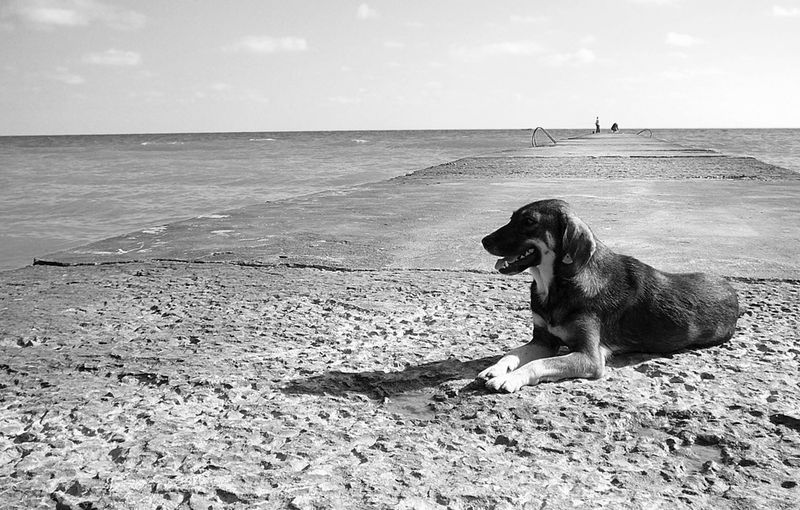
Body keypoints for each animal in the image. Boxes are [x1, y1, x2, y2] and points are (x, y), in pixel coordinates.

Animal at [478, 199, 739, 393]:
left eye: (530, 221)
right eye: (512, 218)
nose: (483, 241)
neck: (556, 286)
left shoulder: (589, 357)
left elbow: (537, 364)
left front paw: (510, 378)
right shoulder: (542, 340)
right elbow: (514, 353)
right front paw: (496, 368)